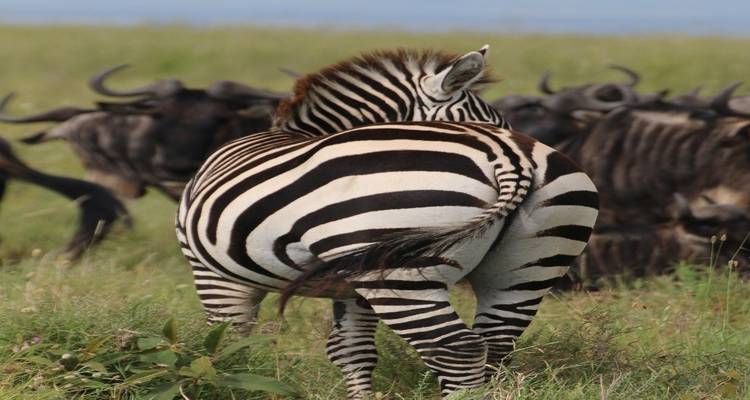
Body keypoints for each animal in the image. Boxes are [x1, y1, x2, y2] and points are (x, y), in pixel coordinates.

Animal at [176, 46, 599, 397]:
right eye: (491, 118)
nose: (506, 130)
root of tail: (510, 156)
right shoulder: (351, 283)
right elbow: (351, 350)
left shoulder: (213, 273)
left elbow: (226, 343)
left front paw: (226, 383)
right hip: (529, 264)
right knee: (495, 344)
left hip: (404, 275)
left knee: (457, 349)